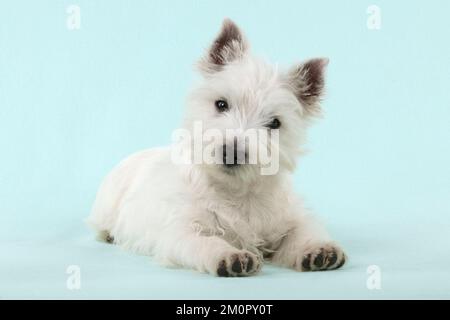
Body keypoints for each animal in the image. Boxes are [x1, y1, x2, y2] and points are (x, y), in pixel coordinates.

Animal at [89, 18, 348, 276]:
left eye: (275, 123)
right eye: (221, 104)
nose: (232, 153)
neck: (237, 193)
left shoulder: (288, 218)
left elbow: (301, 231)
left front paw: (319, 250)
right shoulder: (180, 232)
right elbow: (205, 241)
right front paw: (230, 256)